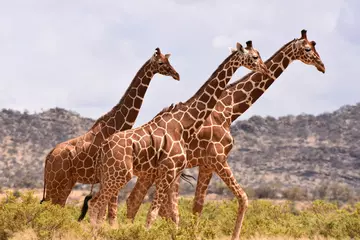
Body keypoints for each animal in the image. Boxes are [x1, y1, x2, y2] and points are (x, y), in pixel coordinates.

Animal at [40, 47, 180, 221]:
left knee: (58, 206)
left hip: (66, 182)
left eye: (169, 61)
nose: (177, 75)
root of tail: (48, 156)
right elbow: (110, 212)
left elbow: (106, 212)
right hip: (57, 182)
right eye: (161, 63)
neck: (118, 124)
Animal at [79, 40, 268, 227]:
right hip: (120, 174)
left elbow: (169, 214)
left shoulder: (173, 171)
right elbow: (154, 214)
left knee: (99, 204)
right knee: (98, 204)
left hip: (111, 175)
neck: (184, 124)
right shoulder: (170, 169)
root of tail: (103, 148)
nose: (264, 69)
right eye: (254, 56)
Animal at [127, 29, 326, 239]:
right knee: (148, 203)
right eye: (308, 48)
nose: (322, 66)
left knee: (151, 204)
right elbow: (243, 198)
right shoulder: (217, 158)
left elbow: (198, 206)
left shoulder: (206, 164)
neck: (228, 110)